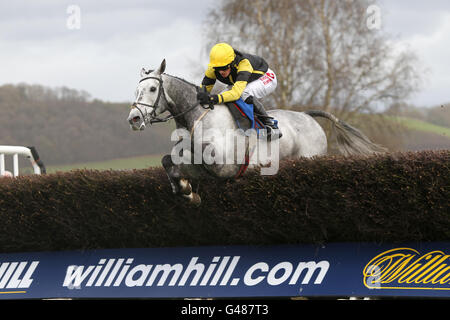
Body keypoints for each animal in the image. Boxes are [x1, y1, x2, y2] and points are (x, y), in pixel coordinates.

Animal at [127, 59, 386, 205]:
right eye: (136, 89)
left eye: (152, 89)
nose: (134, 119)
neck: (198, 117)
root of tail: (308, 117)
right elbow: (167, 161)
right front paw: (183, 189)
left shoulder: (222, 167)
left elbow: (190, 166)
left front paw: (187, 190)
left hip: (310, 157)